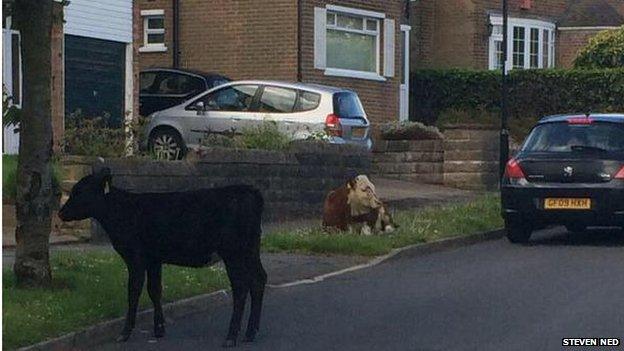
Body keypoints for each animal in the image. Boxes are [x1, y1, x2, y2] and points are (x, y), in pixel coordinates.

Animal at [59, 168, 270, 350]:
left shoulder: (135, 258)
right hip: (250, 250)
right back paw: (251, 332)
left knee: (241, 287)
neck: (123, 211)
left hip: (233, 253)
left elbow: (133, 292)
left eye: (80, 191)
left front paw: (125, 333)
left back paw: (231, 336)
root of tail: (248, 190)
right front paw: (159, 329)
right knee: (258, 280)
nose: (61, 213)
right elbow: (155, 290)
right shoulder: (154, 260)